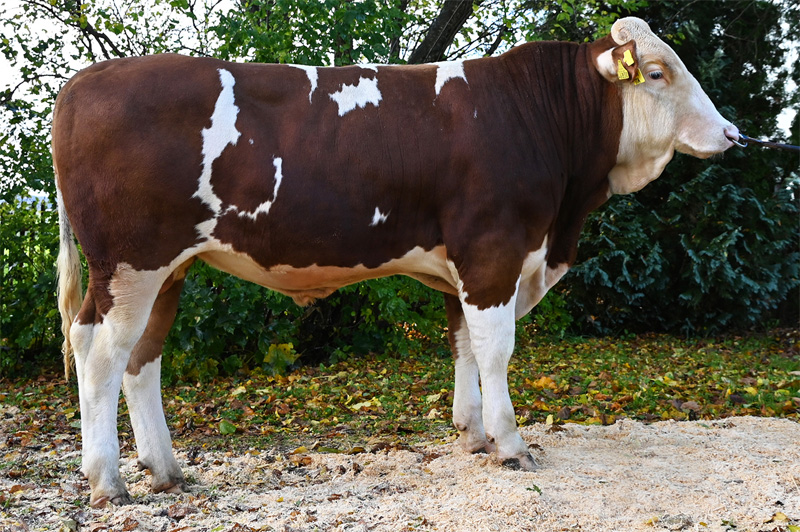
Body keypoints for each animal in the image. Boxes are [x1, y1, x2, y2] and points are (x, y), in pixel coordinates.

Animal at [53, 17, 739, 507]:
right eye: (657, 73)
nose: (733, 134)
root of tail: (84, 83)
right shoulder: (493, 249)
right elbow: (496, 349)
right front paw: (510, 443)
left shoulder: (464, 265)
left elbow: (464, 346)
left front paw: (473, 434)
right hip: (131, 262)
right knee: (99, 351)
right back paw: (107, 480)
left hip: (168, 269)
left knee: (141, 358)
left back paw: (166, 470)